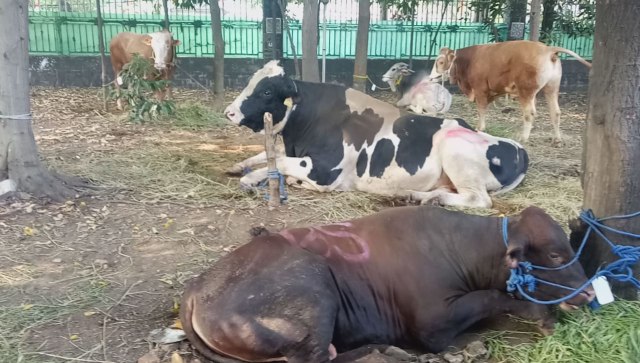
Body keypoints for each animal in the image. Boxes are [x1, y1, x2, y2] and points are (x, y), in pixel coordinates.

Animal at [179, 206, 596, 362]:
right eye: (555, 254)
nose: (590, 290)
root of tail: (197, 288)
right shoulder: (432, 325)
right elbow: (492, 298)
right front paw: (541, 316)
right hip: (314, 292)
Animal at [222, 61, 528, 209]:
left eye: (266, 91)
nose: (230, 112)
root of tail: (518, 149)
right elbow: (270, 155)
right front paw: (240, 166)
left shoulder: (325, 170)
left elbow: (281, 163)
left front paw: (250, 179)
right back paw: (418, 197)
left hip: (456, 150)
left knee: (479, 200)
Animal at [428, 40, 592, 145]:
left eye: (440, 62)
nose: (430, 78)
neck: (469, 61)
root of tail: (547, 49)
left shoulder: (480, 89)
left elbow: (481, 109)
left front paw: (480, 127)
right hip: (551, 88)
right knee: (555, 112)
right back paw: (557, 139)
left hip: (526, 92)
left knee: (530, 113)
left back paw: (523, 138)